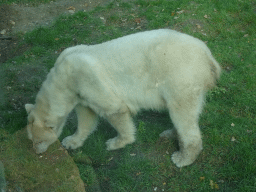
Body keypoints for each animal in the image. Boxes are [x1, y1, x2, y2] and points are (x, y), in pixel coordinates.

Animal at [26, 28, 222, 168]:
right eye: (31, 139)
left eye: (39, 140)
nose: (36, 151)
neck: (63, 76)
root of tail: (209, 57)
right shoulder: (80, 93)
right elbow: (86, 117)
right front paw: (71, 141)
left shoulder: (87, 79)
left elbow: (114, 109)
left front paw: (115, 143)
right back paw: (169, 134)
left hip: (180, 76)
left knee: (182, 113)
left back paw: (182, 157)